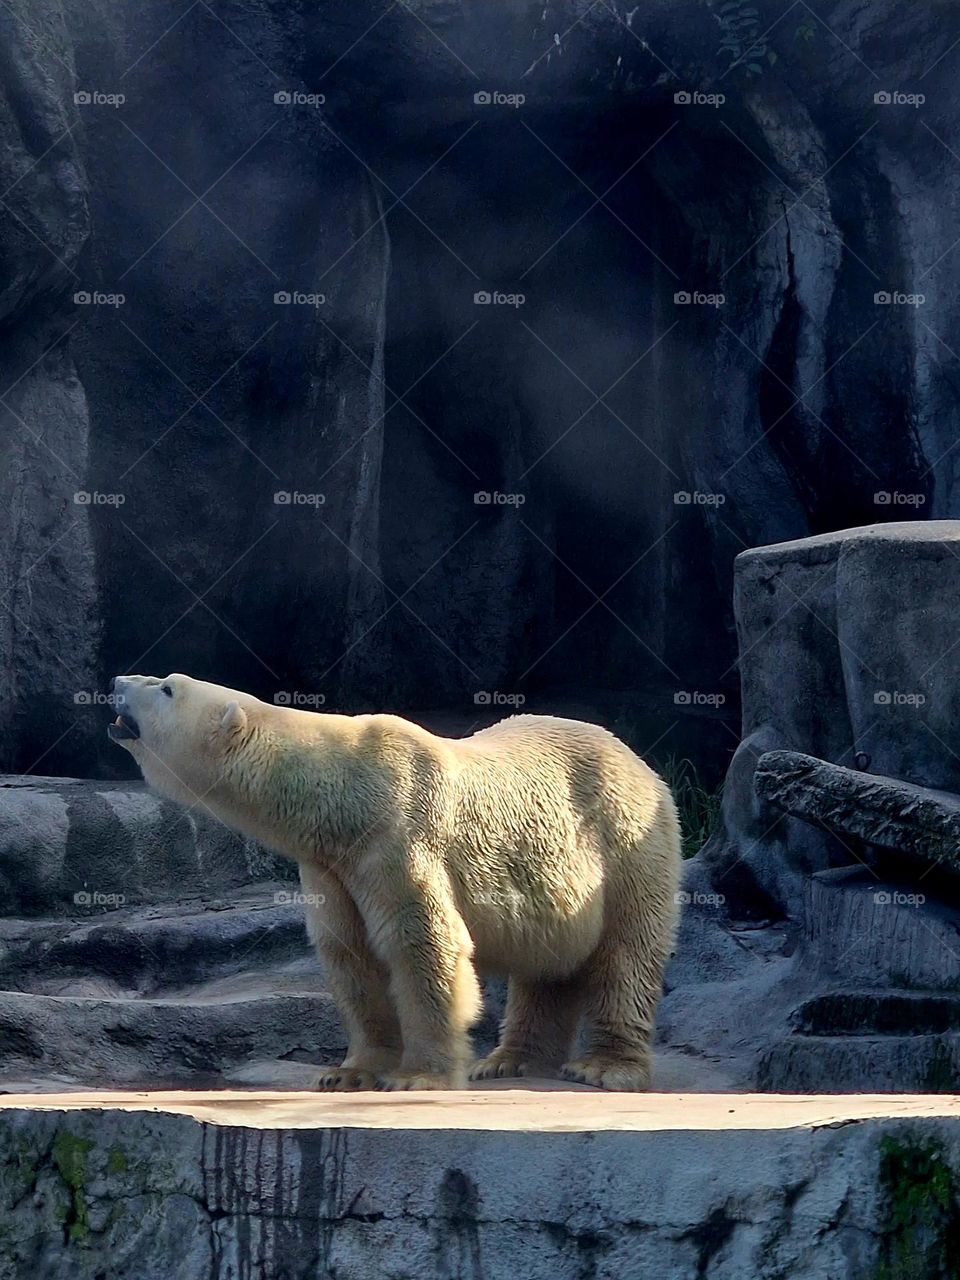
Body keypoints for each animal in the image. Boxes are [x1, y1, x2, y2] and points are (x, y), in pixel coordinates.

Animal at [108, 673, 682, 1091]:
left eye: (167, 686)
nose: (116, 679)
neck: (343, 792)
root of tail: (638, 761)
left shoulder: (398, 835)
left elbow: (421, 943)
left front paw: (417, 1077)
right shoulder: (331, 866)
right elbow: (350, 955)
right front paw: (348, 1073)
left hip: (624, 840)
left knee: (626, 952)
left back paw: (603, 1067)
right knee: (549, 962)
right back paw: (508, 1061)